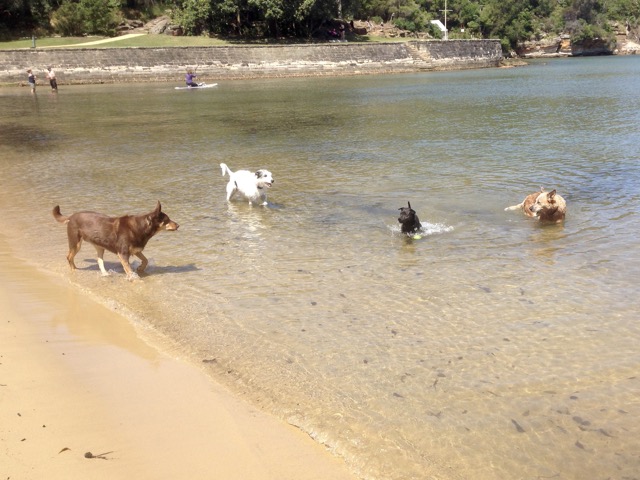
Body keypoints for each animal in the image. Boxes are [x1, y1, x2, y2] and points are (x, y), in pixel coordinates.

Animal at [50, 202, 178, 278]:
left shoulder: (136, 250)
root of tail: (71, 216)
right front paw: (134, 279)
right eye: (167, 220)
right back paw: (74, 270)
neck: (142, 226)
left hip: (99, 246)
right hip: (76, 243)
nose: (178, 225)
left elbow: (145, 260)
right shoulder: (123, 254)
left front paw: (140, 268)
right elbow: (129, 269)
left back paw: (105, 273)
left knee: (99, 260)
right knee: (69, 257)